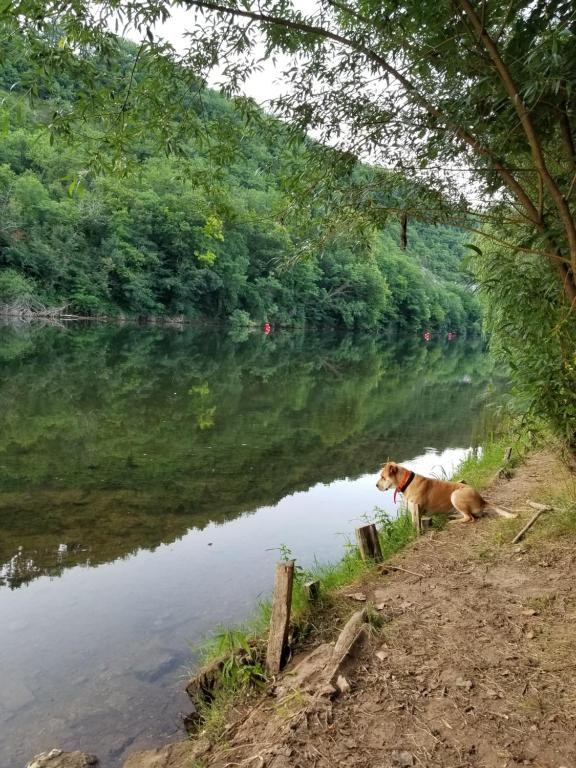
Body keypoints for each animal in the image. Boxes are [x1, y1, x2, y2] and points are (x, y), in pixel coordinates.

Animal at [376, 460, 516, 524]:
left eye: (383, 477)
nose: (376, 485)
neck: (407, 482)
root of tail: (482, 500)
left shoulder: (415, 513)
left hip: (455, 495)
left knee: (469, 518)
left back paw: (453, 521)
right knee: (469, 516)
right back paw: (452, 517)